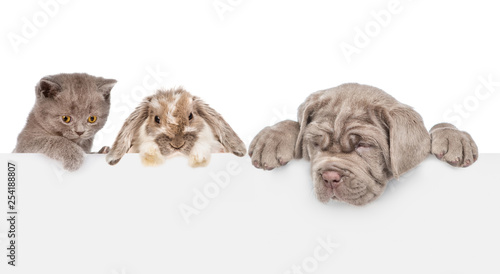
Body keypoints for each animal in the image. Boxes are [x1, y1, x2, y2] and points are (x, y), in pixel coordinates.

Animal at [249, 83, 476, 206]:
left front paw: (454, 137)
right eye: (315, 143)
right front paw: (273, 137)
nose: (330, 177)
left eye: (364, 145)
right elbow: (295, 125)